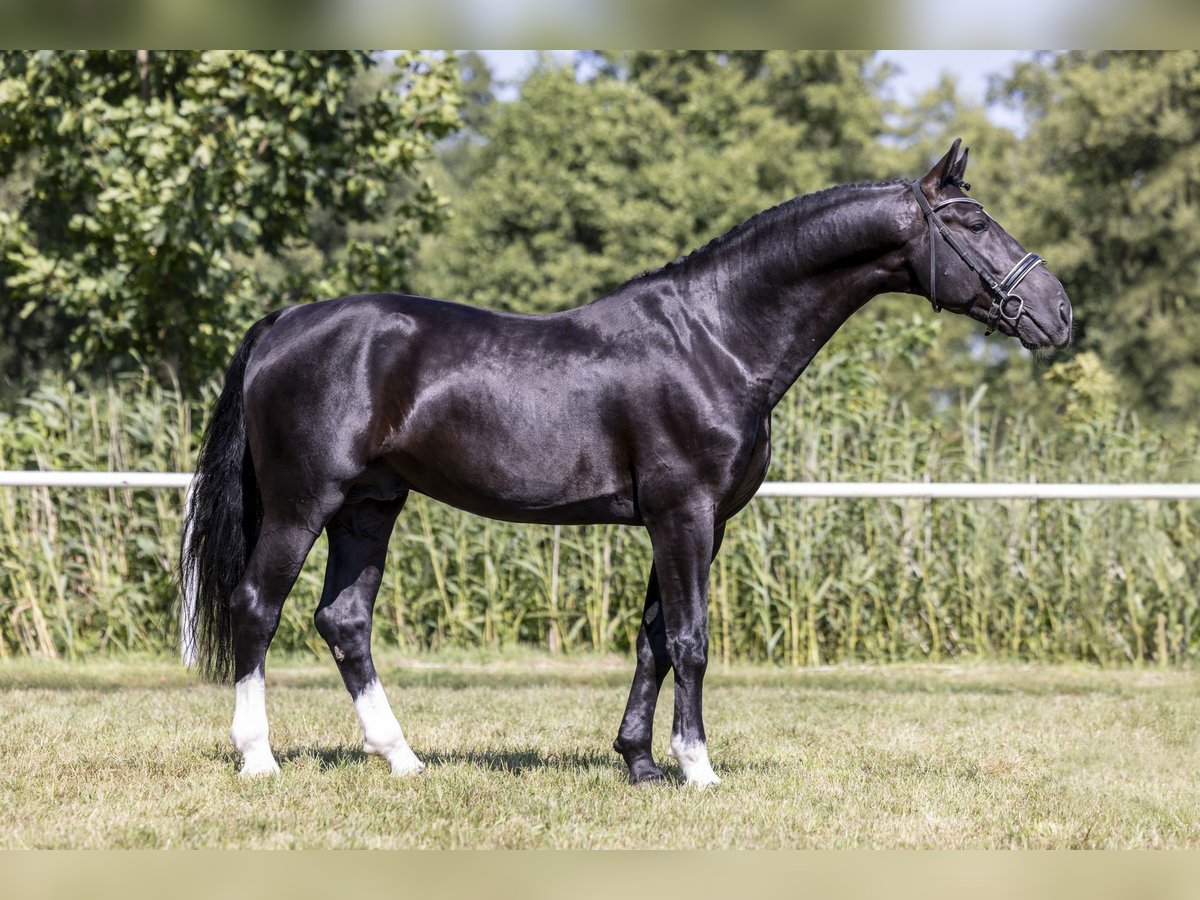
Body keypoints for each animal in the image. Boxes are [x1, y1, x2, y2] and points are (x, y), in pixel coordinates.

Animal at [182, 142, 1075, 787]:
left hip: (371, 505)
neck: (716, 338)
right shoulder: (684, 515)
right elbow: (692, 639)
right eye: (970, 221)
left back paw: (403, 759)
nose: (1058, 312)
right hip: (303, 503)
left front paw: (640, 762)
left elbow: (652, 642)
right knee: (257, 606)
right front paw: (699, 769)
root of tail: (288, 320)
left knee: (345, 621)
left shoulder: (690, 522)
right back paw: (259, 759)